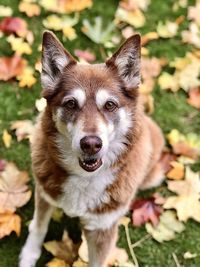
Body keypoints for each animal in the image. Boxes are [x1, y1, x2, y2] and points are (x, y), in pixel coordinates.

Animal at [19, 30, 165, 267]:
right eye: (70, 103)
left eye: (110, 105)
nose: (91, 144)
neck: (84, 178)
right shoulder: (44, 195)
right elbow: (39, 228)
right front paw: (28, 255)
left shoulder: (102, 229)